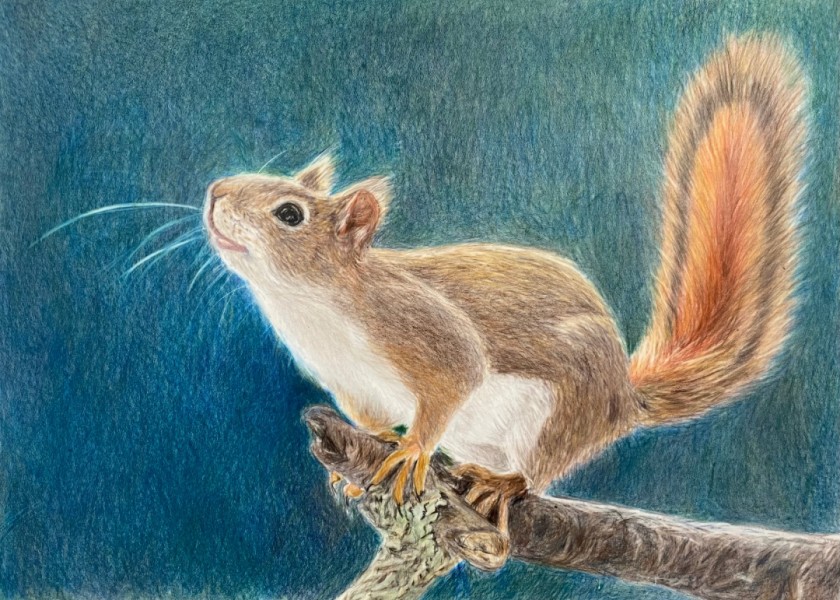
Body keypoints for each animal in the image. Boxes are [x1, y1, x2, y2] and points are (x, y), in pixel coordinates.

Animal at [203, 34, 807, 532]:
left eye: (290, 214)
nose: (214, 192)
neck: (311, 308)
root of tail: (623, 397)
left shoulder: (420, 326)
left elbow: (459, 371)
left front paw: (413, 450)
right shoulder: (349, 386)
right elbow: (371, 423)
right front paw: (360, 461)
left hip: (565, 408)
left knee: (539, 469)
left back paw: (503, 484)